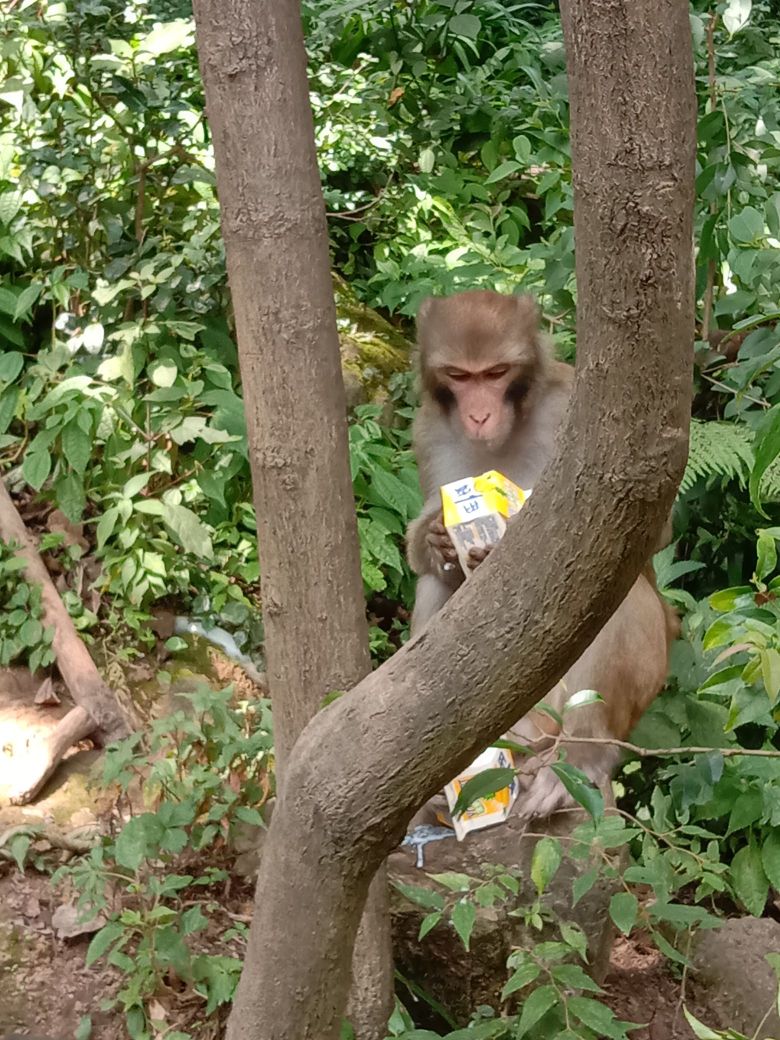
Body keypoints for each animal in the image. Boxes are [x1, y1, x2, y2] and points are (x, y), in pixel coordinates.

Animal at [405, 291, 682, 827]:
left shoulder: (571, 404)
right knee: (438, 586)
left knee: (615, 590)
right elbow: (430, 552)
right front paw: (435, 540)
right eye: (459, 376)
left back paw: (583, 755)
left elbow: (646, 527)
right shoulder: (428, 432)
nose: (478, 416)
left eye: (495, 373)